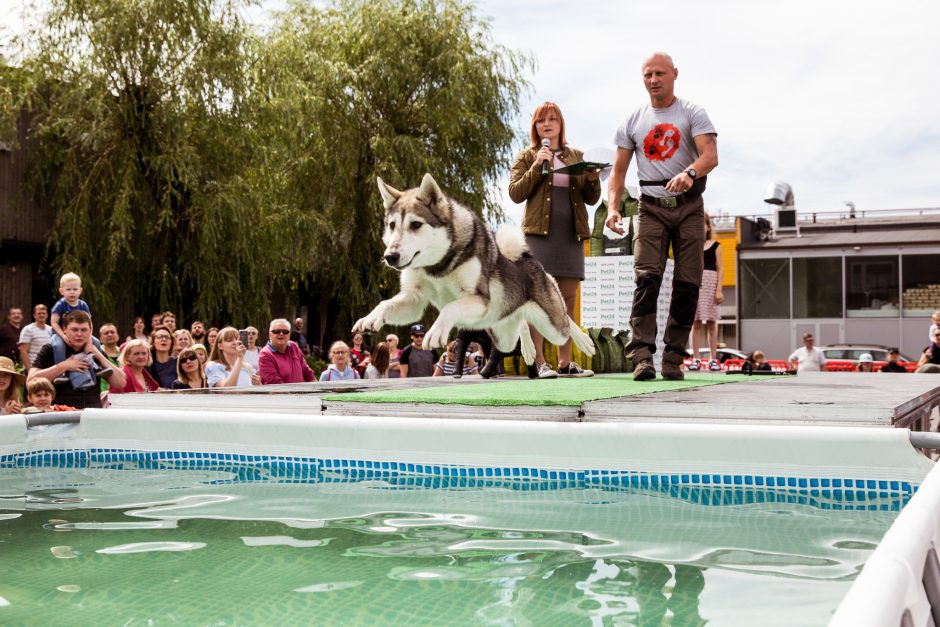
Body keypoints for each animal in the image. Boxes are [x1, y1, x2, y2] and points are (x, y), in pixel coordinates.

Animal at [352, 173, 596, 368]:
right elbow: (386, 303)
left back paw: (584, 341)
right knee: (522, 324)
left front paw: (436, 332)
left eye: (416, 225)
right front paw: (370, 318)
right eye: (392, 225)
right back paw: (528, 348)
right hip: (504, 337)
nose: (390, 257)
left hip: (554, 327)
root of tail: (527, 256)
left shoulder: (479, 299)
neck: (437, 266)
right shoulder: (415, 299)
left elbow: (449, 307)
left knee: (565, 320)